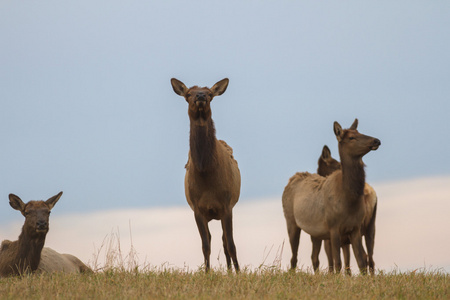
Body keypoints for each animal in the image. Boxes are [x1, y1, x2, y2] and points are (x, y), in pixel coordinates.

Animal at [170, 77, 241, 272]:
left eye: (210, 93)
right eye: (188, 94)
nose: (200, 96)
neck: (206, 174)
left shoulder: (227, 206)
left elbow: (231, 245)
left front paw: (240, 273)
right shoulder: (197, 209)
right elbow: (205, 245)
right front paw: (207, 273)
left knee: (225, 241)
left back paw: (231, 271)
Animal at [310, 145, 376, 274]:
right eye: (338, 164)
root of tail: (368, 193)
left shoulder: (330, 238)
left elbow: (332, 262)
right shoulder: (345, 240)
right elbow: (347, 263)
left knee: (364, 256)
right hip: (370, 227)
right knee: (370, 258)